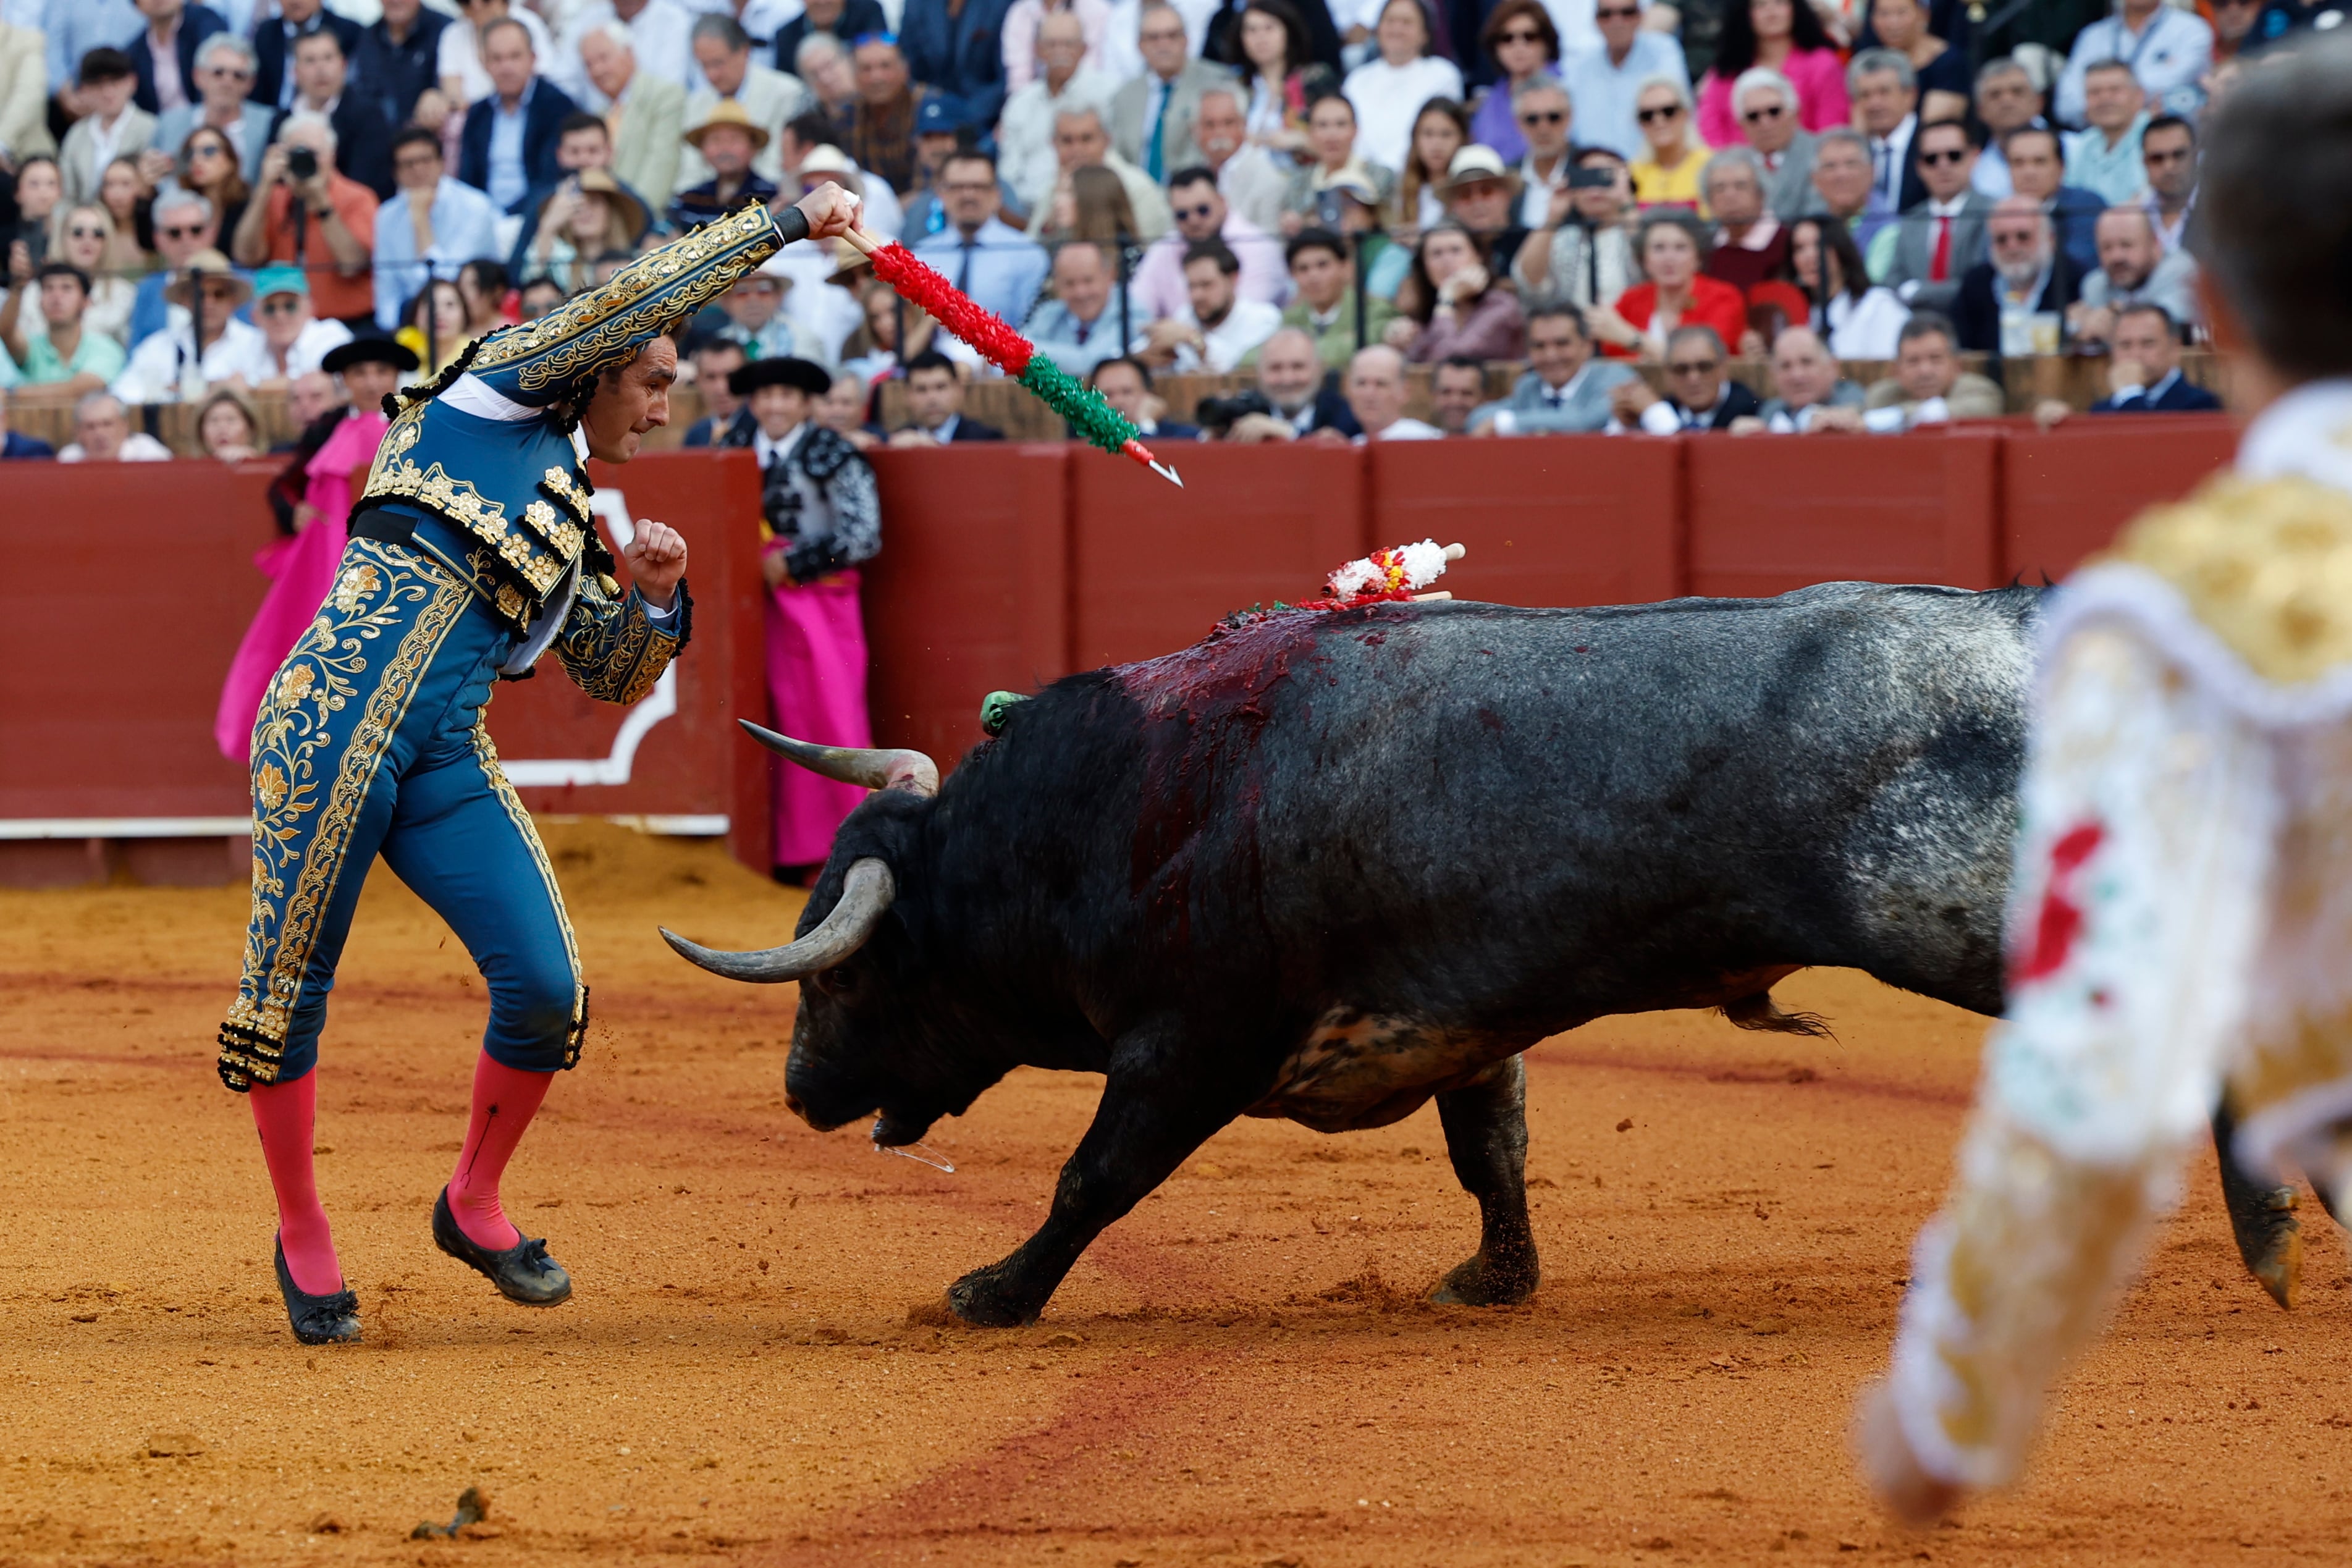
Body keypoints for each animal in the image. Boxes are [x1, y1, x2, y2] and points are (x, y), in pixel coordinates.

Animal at [668, 585, 2314, 1326]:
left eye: (844, 971)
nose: (800, 1091)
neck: (1099, 810)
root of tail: (2030, 624)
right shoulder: (1459, 1016)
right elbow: (1492, 1151)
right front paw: (1492, 1277)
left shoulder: (1185, 1046)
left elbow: (1092, 1177)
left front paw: (993, 1291)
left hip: (1971, 908)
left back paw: (2270, 1232)